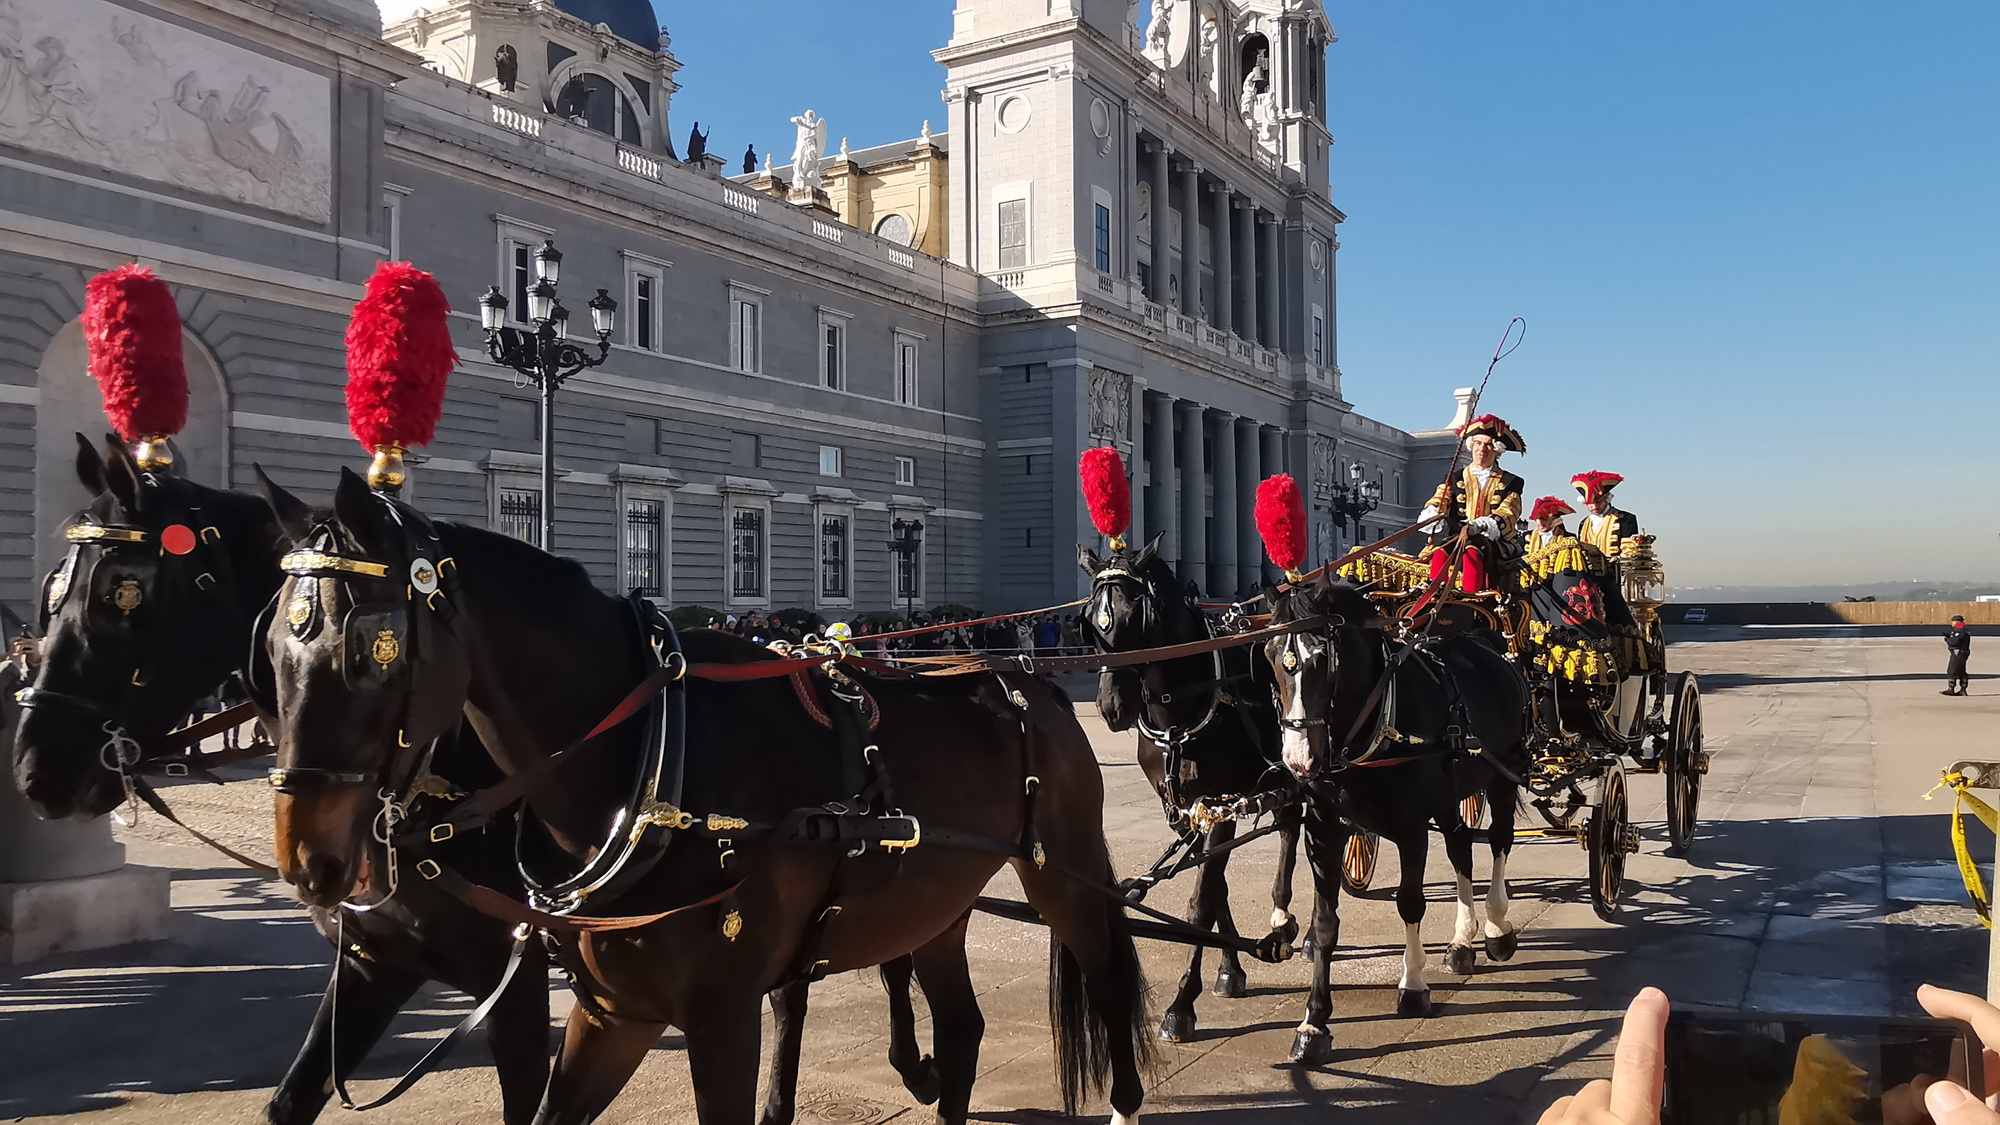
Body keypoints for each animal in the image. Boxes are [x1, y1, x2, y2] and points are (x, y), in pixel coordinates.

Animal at [9, 434, 556, 1112]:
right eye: (52, 591)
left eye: (121, 593)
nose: (37, 771)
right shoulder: (374, 962)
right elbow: (291, 1097)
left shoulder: (514, 987)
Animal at [262, 464, 1160, 1120]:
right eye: (270, 646)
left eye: (369, 650)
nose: (309, 858)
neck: (654, 760)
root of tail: (1026, 674)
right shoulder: (611, 1011)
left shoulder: (718, 1013)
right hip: (936, 900)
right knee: (963, 1028)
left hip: (1062, 872)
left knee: (1109, 978)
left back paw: (1124, 1098)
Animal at [1080, 540, 1296, 1040]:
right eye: (1091, 620)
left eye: (1135, 616)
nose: (1111, 707)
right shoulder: (1182, 808)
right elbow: (1216, 890)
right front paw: (1230, 969)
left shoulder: (1220, 805)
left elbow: (1202, 898)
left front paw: (1182, 1004)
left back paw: (1291, 922)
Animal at [1256, 572, 1520, 1056]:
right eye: (1270, 656)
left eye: (1321, 657)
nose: (1299, 759)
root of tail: (1483, 638)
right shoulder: (1323, 830)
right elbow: (1325, 922)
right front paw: (1314, 1021)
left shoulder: (1412, 829)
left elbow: (1410, 902)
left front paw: (1413, 985)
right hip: (1451, 796)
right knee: (1460, 846)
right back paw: (1461, 941)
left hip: (1504, 775)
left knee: (1498, 842)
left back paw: (1495, 927)